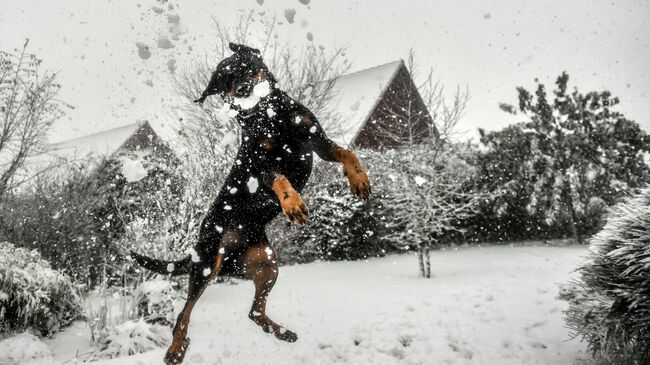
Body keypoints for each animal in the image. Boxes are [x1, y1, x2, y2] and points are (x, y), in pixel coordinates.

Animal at [132, 43, 370, 364]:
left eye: (245, 66)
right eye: (224, 82)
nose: (244, 89)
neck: (272, 115)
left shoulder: (317, 141)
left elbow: (347, 153)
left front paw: (359, 180)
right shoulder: (260, 164)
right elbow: (280, 178)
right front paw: (293, 203)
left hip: (267, 262)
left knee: (254, 312)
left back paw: (282, 332)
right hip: (207, 265)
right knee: (184, 313)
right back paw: (175, 349)